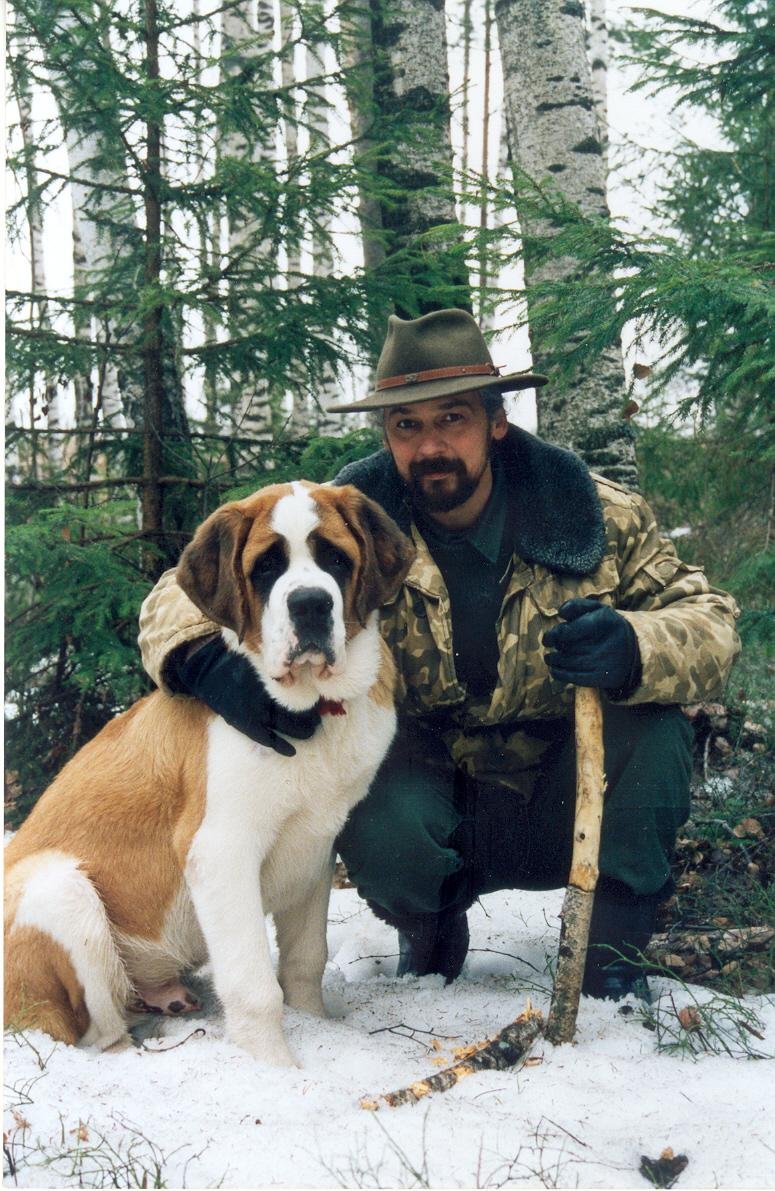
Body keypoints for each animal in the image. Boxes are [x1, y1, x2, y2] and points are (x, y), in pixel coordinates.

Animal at [4, 481, 414, 1066]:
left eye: (336, 559)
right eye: (266, 567)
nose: (310, 603)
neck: (312, 708)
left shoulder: (316, 848)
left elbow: (305, 959)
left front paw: (315, 1024)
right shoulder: (221, 851)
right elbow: (254, 984)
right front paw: (275, 1069)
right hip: (60, 890)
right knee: (90, 1032)